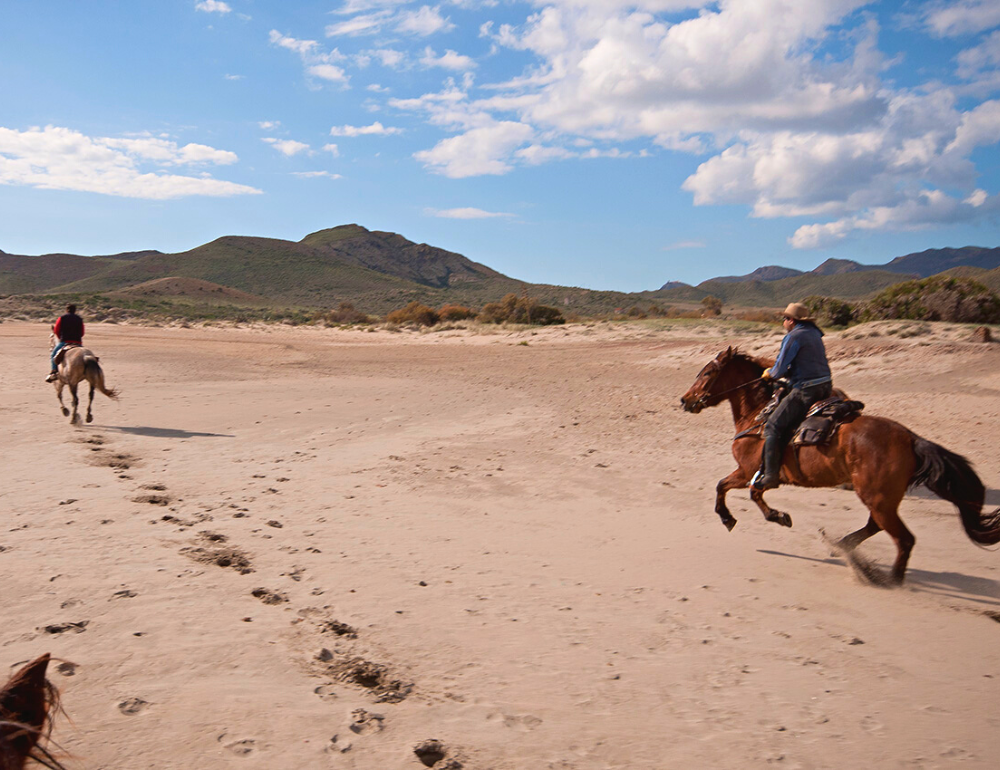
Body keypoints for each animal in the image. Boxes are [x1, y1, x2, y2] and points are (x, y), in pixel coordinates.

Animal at [680, 346, 1000, 584]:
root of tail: (910, 438)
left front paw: (732, 517)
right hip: (881, 499)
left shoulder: (750, 471)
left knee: (903, 539)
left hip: (877, 498)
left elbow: (728, 488)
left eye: (707, 372)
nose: (685, 400)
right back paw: (844, 547)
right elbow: (743, 492)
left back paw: (887, 579)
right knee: (876, 526)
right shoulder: (755, 474)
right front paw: (775, 516)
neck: (759, 414)